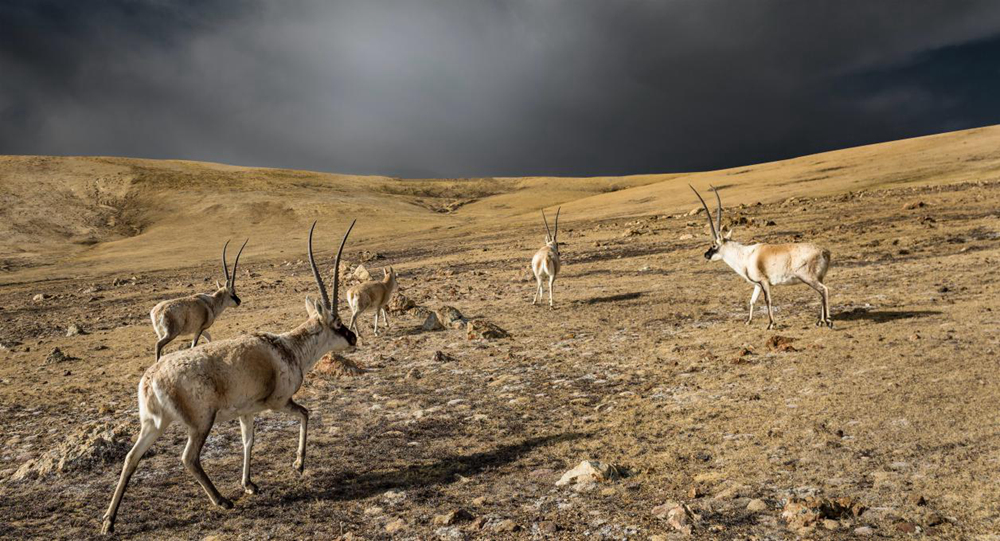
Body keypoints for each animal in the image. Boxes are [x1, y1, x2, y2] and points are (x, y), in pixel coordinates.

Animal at [100, 218, 360, 532]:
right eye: (337, 323)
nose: (353, 338)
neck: (288, 347)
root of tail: (151, 380)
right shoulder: (278, 402)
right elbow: (305, 414)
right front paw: (298, 465)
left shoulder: (246, 412)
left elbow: (248, 441)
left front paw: (249, 484)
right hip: (201, 422)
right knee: (189, 458)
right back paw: (221, 501)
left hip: (154, 424)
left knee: (131, 458)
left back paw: (109, 521)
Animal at [688, 186, 836, 330]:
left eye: (714, 245)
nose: (706, 255)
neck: (745, 255)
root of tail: (825, 252)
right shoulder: (757, 285)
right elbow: (752, 300)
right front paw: (748, 321)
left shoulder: (764, 282)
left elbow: (767, 300)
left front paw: (771, 324)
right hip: (817, 278)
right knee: (821, 293)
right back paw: (820, 321)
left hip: (807, 277)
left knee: (824, 290)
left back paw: (828, 321)